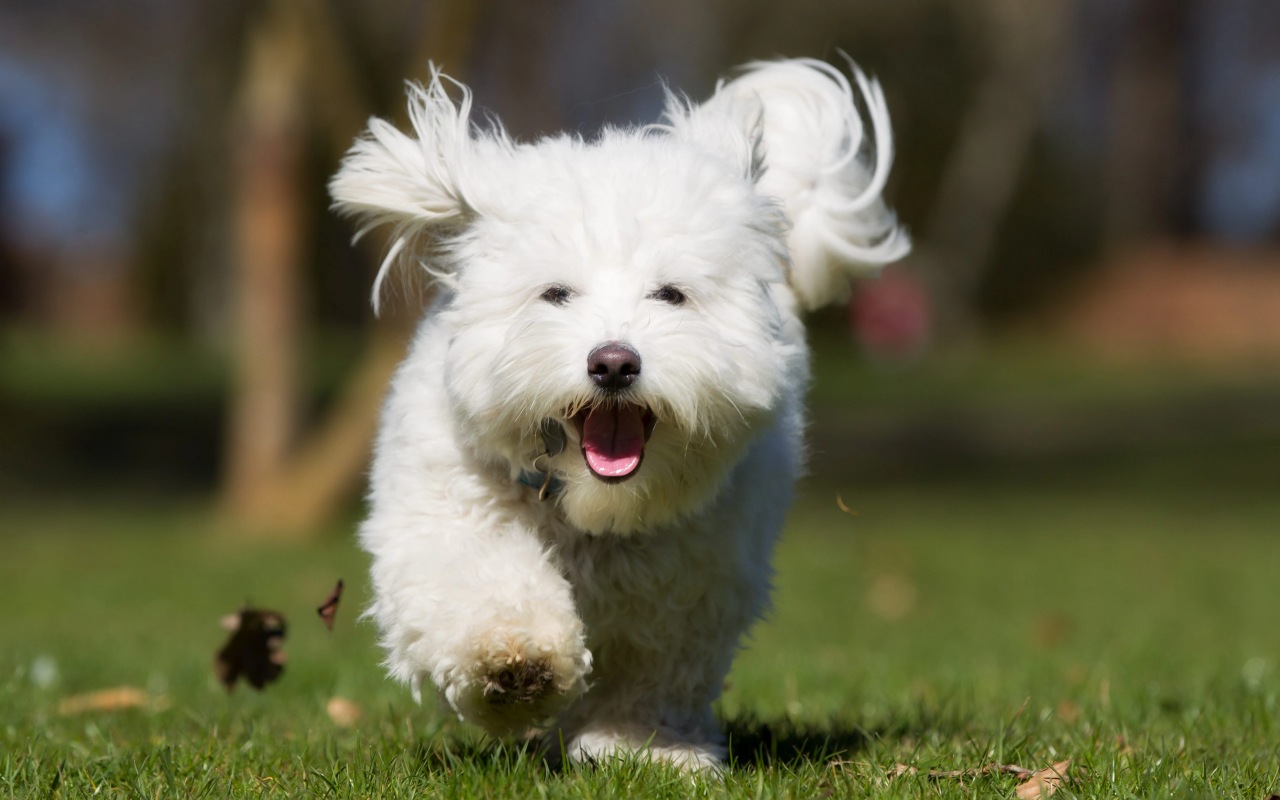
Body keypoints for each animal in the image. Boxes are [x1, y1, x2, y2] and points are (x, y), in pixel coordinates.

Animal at [330, 54, 911, 768]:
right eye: (555, 294)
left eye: (671, 294)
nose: (612, 363)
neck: (594, 508)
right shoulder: (444, 515)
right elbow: (479, 582)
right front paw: (515, 661)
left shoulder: (694, 579)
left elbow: (654, 668)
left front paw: (643, 746)